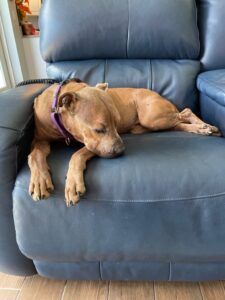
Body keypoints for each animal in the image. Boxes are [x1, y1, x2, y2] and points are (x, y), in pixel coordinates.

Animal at [27, 78, 220, 206]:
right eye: (99, 129)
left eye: (117, 122)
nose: (121, 150)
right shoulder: (39, 140)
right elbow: (34, 155)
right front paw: (39, 180)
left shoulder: (93, 145)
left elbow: (77, 154)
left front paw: (73, 183)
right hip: (156, 123)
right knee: (180, 123)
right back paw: (201, 128)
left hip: (152, 117)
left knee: (186, 112)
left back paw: (206, 126)